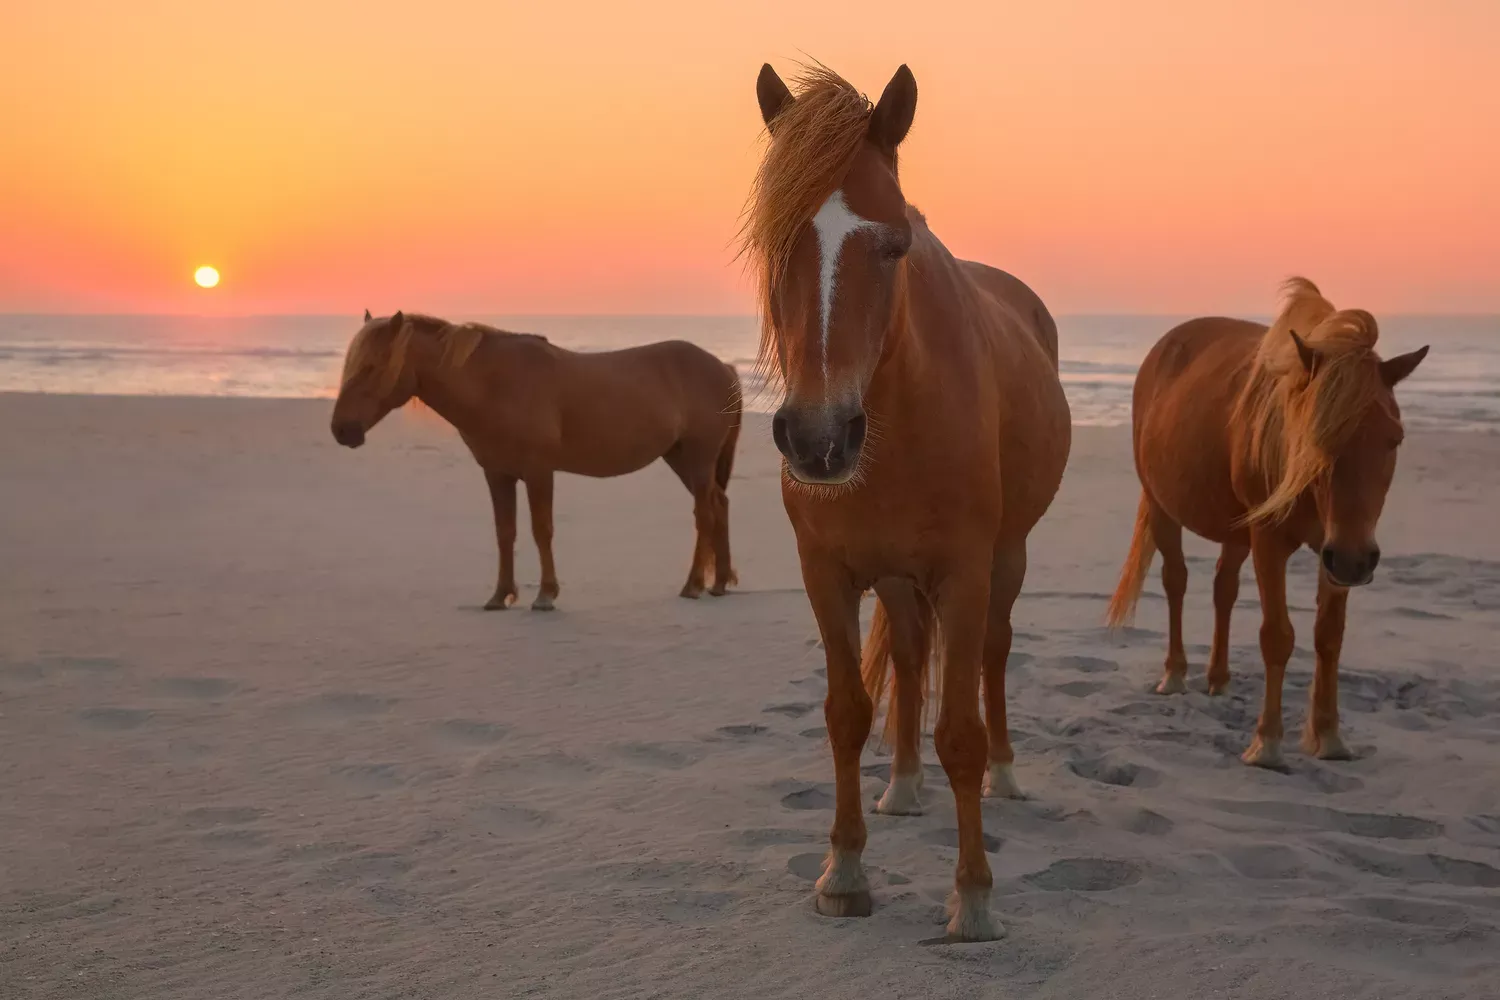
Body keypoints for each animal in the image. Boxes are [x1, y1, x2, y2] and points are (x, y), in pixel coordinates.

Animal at [334, 313, 744, 611]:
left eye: (372, 366)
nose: (341, 430)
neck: (495, 384)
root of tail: (723, 367)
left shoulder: (538, 472)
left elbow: (541, 529)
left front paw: (546, 594)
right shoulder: (498, 474)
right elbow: (505, 533)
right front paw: (499, 596)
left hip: (698, 458)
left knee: (705, 514)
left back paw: (693, 585)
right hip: (681, 459)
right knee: (719, 505)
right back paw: (719, 583)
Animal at [744, 60, 1074, 941]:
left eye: (894, 244)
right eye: (774, 242)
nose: (818, 438)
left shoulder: (965, 571)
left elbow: (959, 728)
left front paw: (974, 898)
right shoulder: (825, 574)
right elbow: (846, 713)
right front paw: (844, 872)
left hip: (1006, 562)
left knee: (991, 655)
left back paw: (1005, 776)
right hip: (895, 578)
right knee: (908, 653)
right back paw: (901, 785)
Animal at [1110, 277, 1434, 773]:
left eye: (1394, 439)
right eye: (1317, 436)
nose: (1358, 560)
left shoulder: (1332, 548)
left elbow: (1328, 637)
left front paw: (1329, 737)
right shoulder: (1271, 541)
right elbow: (1277, 636)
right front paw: (1267, 744)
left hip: (1238, 530)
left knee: (1223, 588)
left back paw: (1219, 678)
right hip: (1164, 507)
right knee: (1176, 581)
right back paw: (1175, 674)